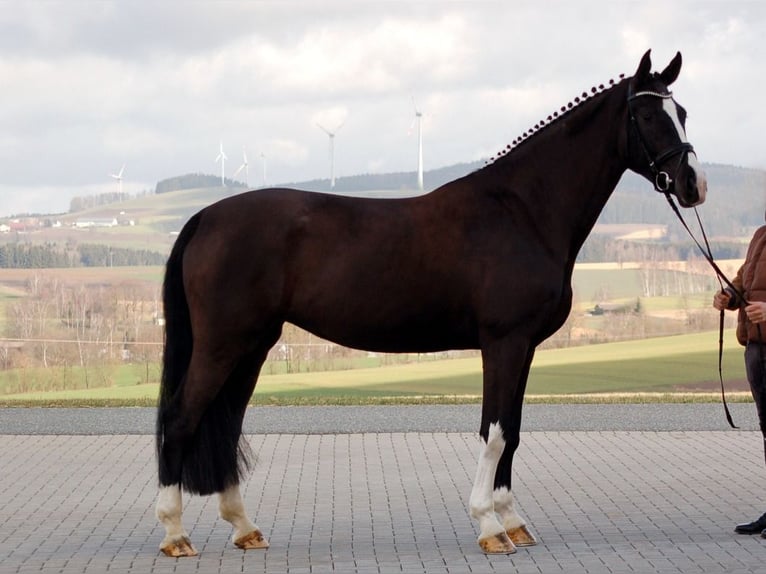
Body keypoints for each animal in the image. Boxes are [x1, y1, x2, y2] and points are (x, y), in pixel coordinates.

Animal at [155, 50, 707, 557]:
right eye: (649, 116)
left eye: (682, 112)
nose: (693, 185)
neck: (524, 211)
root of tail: (204, 217)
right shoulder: (504, 343)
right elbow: (495, 432)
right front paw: (488, 525)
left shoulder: (524, 347)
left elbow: (513, 430)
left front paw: (512, 521)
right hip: (224, 345)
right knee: (182, 420)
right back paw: (175, 534)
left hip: (253, 346)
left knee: (226, 423)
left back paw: (244, 527)